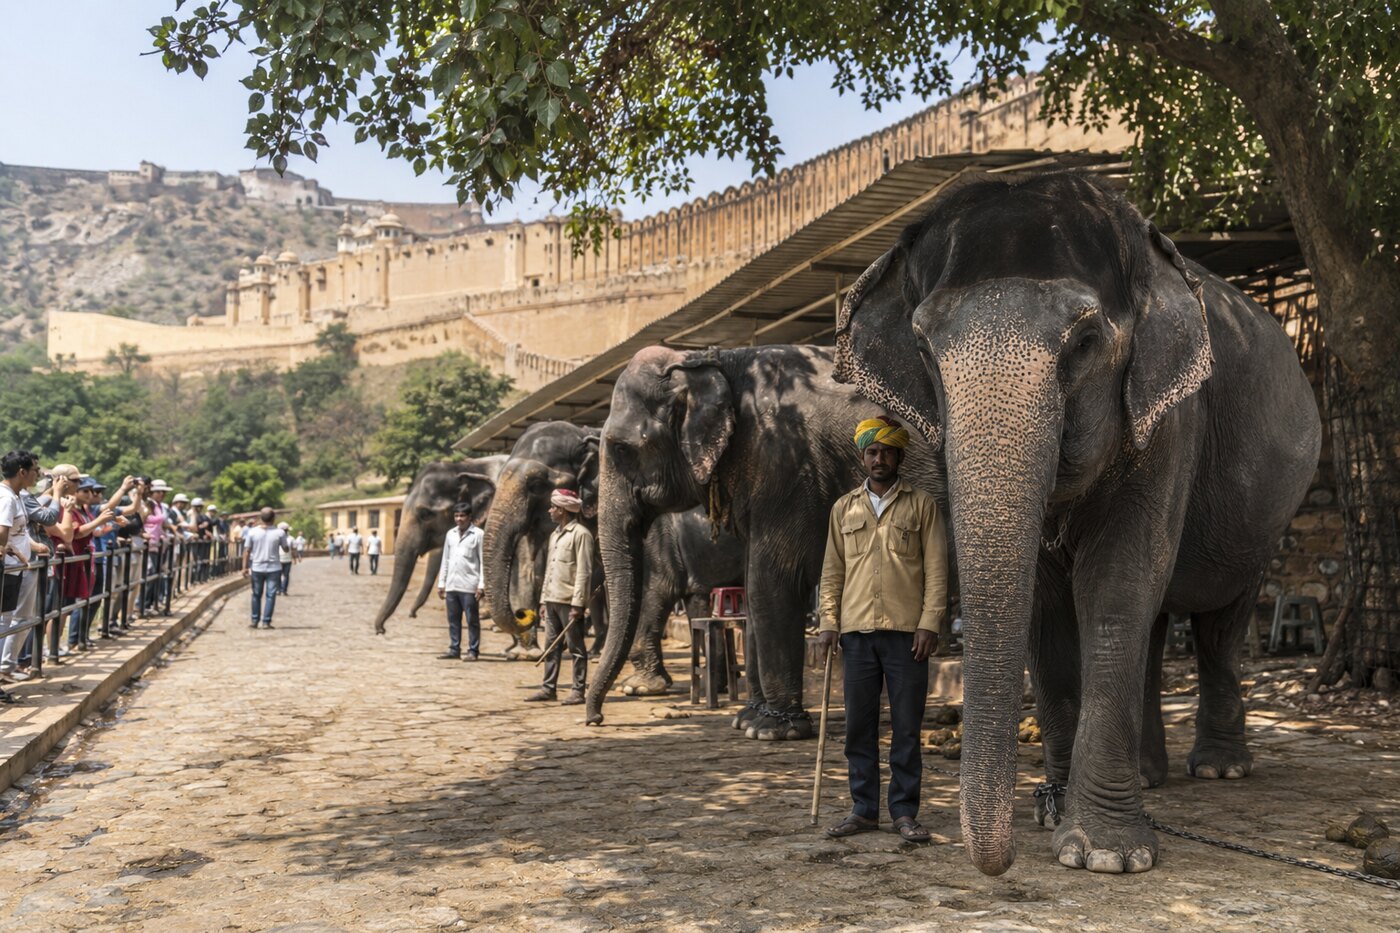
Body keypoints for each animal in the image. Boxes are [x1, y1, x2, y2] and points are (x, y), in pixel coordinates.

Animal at [586, 344, 946, 740]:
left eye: (622, 449)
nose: (595, 719)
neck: (707, 359)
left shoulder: (785, 463)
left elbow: (769, 580)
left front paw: (770, 730)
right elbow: (750, 580)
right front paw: (747, 719)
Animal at [834, 170, 1320, 876]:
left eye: (1085, 344)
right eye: (922, 348)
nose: (997, 859)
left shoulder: (1173, 415)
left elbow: (1117, 582)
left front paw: (1107, 856)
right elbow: (1046, 608)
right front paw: (1055, 817)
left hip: (1269, 517)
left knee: (1218, 621)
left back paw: (1219, 770)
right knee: (1157, 623)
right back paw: (1148, 777)